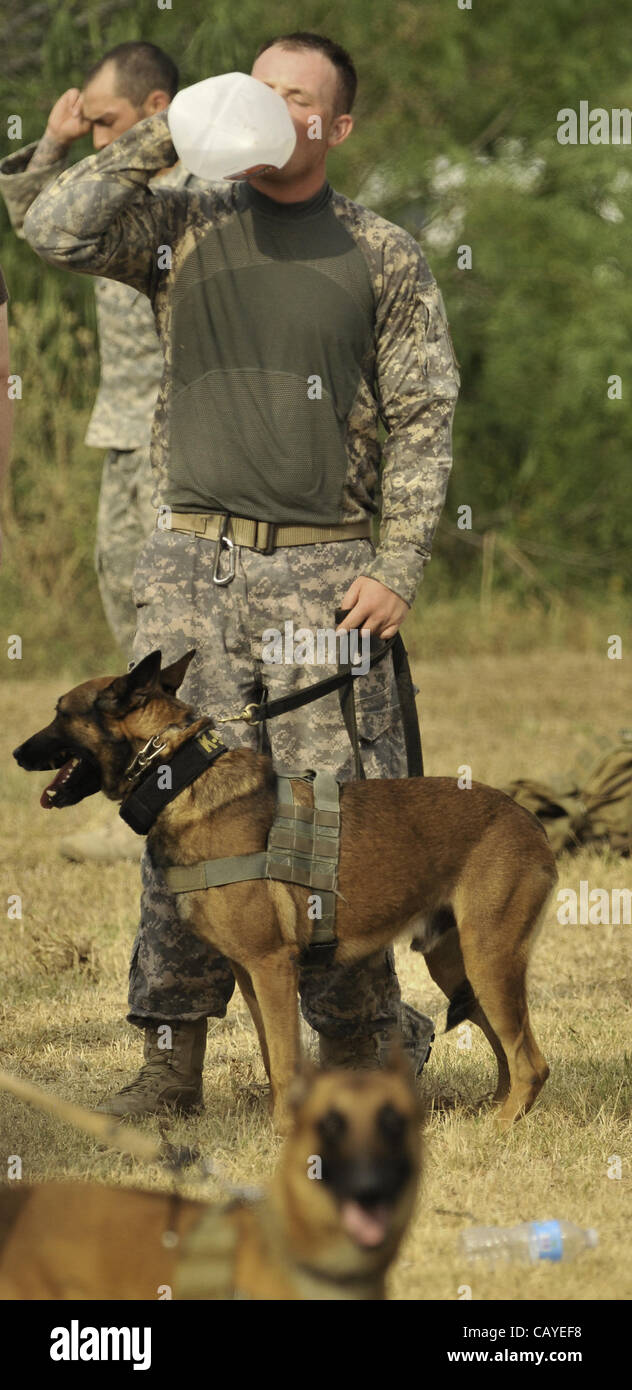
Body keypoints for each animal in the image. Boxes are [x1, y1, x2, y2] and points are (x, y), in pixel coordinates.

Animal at [14, 647, 555, 1128]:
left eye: (62, 713)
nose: (17, 752)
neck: (178, 776)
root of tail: (529, 820)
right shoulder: (251, 975)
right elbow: (272, 1058)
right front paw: (281, 1124)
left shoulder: (273, 967)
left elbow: (286, 1056)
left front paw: (285, 1131)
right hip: (455, 964)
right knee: (506, 1050)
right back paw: (491, 1111)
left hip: (488, 959)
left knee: (531, 1061)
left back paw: (500, 1127)